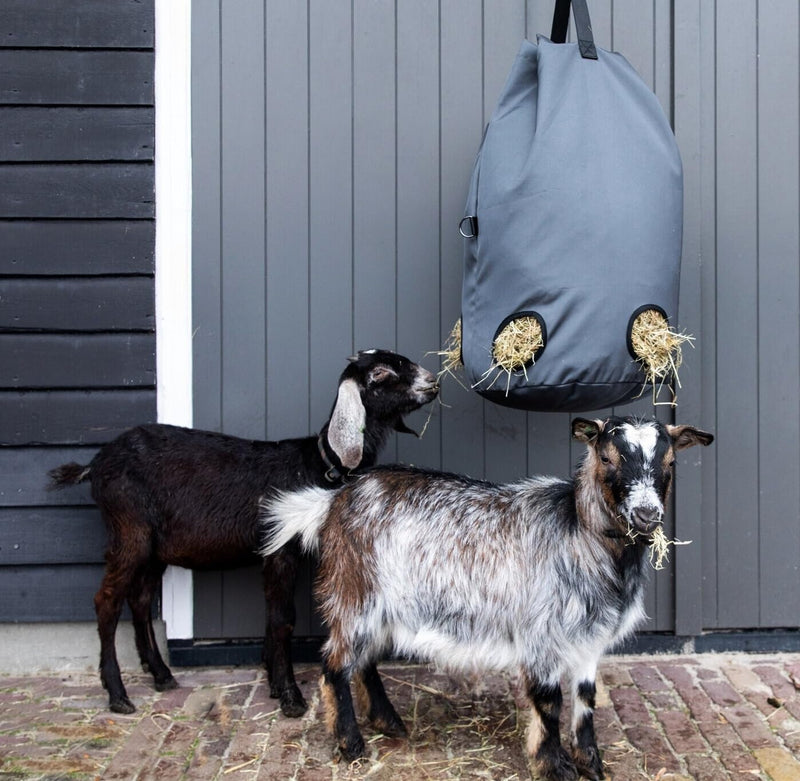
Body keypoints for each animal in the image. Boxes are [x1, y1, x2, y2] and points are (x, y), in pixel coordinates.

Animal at [48, 349, 438, 718]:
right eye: (381, 373)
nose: (433, 382)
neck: (318, 464)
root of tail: (94, 466)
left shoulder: (270, 553)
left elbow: (270, 616)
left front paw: (274, 684)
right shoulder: (280, 550)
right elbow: (283, 619)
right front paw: (291, 697)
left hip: (155, 546)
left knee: (140, 600)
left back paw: (160, 674)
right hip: (128, 530)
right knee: (107, 602)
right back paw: (117, 694)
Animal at [261, 416, 713, 780]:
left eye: (670, 464)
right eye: (606, 458)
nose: (646, 515)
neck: (578, 533)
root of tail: (333, 501)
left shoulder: (590, 640)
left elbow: (586, 700)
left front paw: (592, 764)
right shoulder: (541, 634)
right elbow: (549, 702)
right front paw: (554, 766)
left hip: (381, 607)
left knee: (365, 661)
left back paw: (389, 722)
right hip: (353, 593)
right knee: (335, 664)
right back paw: (352, 746)